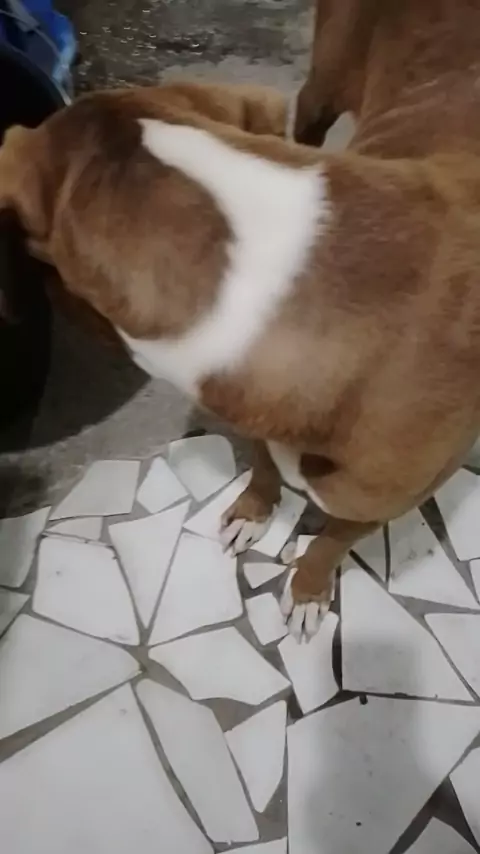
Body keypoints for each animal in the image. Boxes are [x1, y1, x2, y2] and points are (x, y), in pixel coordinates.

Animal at [1, 20, 480, 639]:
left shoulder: (379, 502)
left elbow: (329, 542)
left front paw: (307, 589)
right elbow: (261, 463)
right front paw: (254, 511)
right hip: (323, 81)